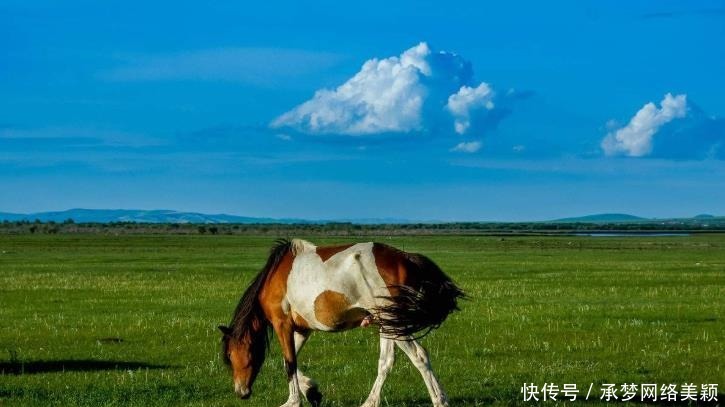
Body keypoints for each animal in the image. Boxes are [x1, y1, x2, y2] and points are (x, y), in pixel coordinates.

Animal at [216, 239, 464, 407]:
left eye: (230, 355)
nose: (241, 392)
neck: (273, 277)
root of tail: (406, 259)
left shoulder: (282, 324)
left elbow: (289, 364)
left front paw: (293, 401)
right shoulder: (302, 330)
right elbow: (289, 361)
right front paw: (312, 391)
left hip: (393, 323)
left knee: (419, 356)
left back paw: (439, 399)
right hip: (387, 323)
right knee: (386, 362)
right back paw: (371, 402)